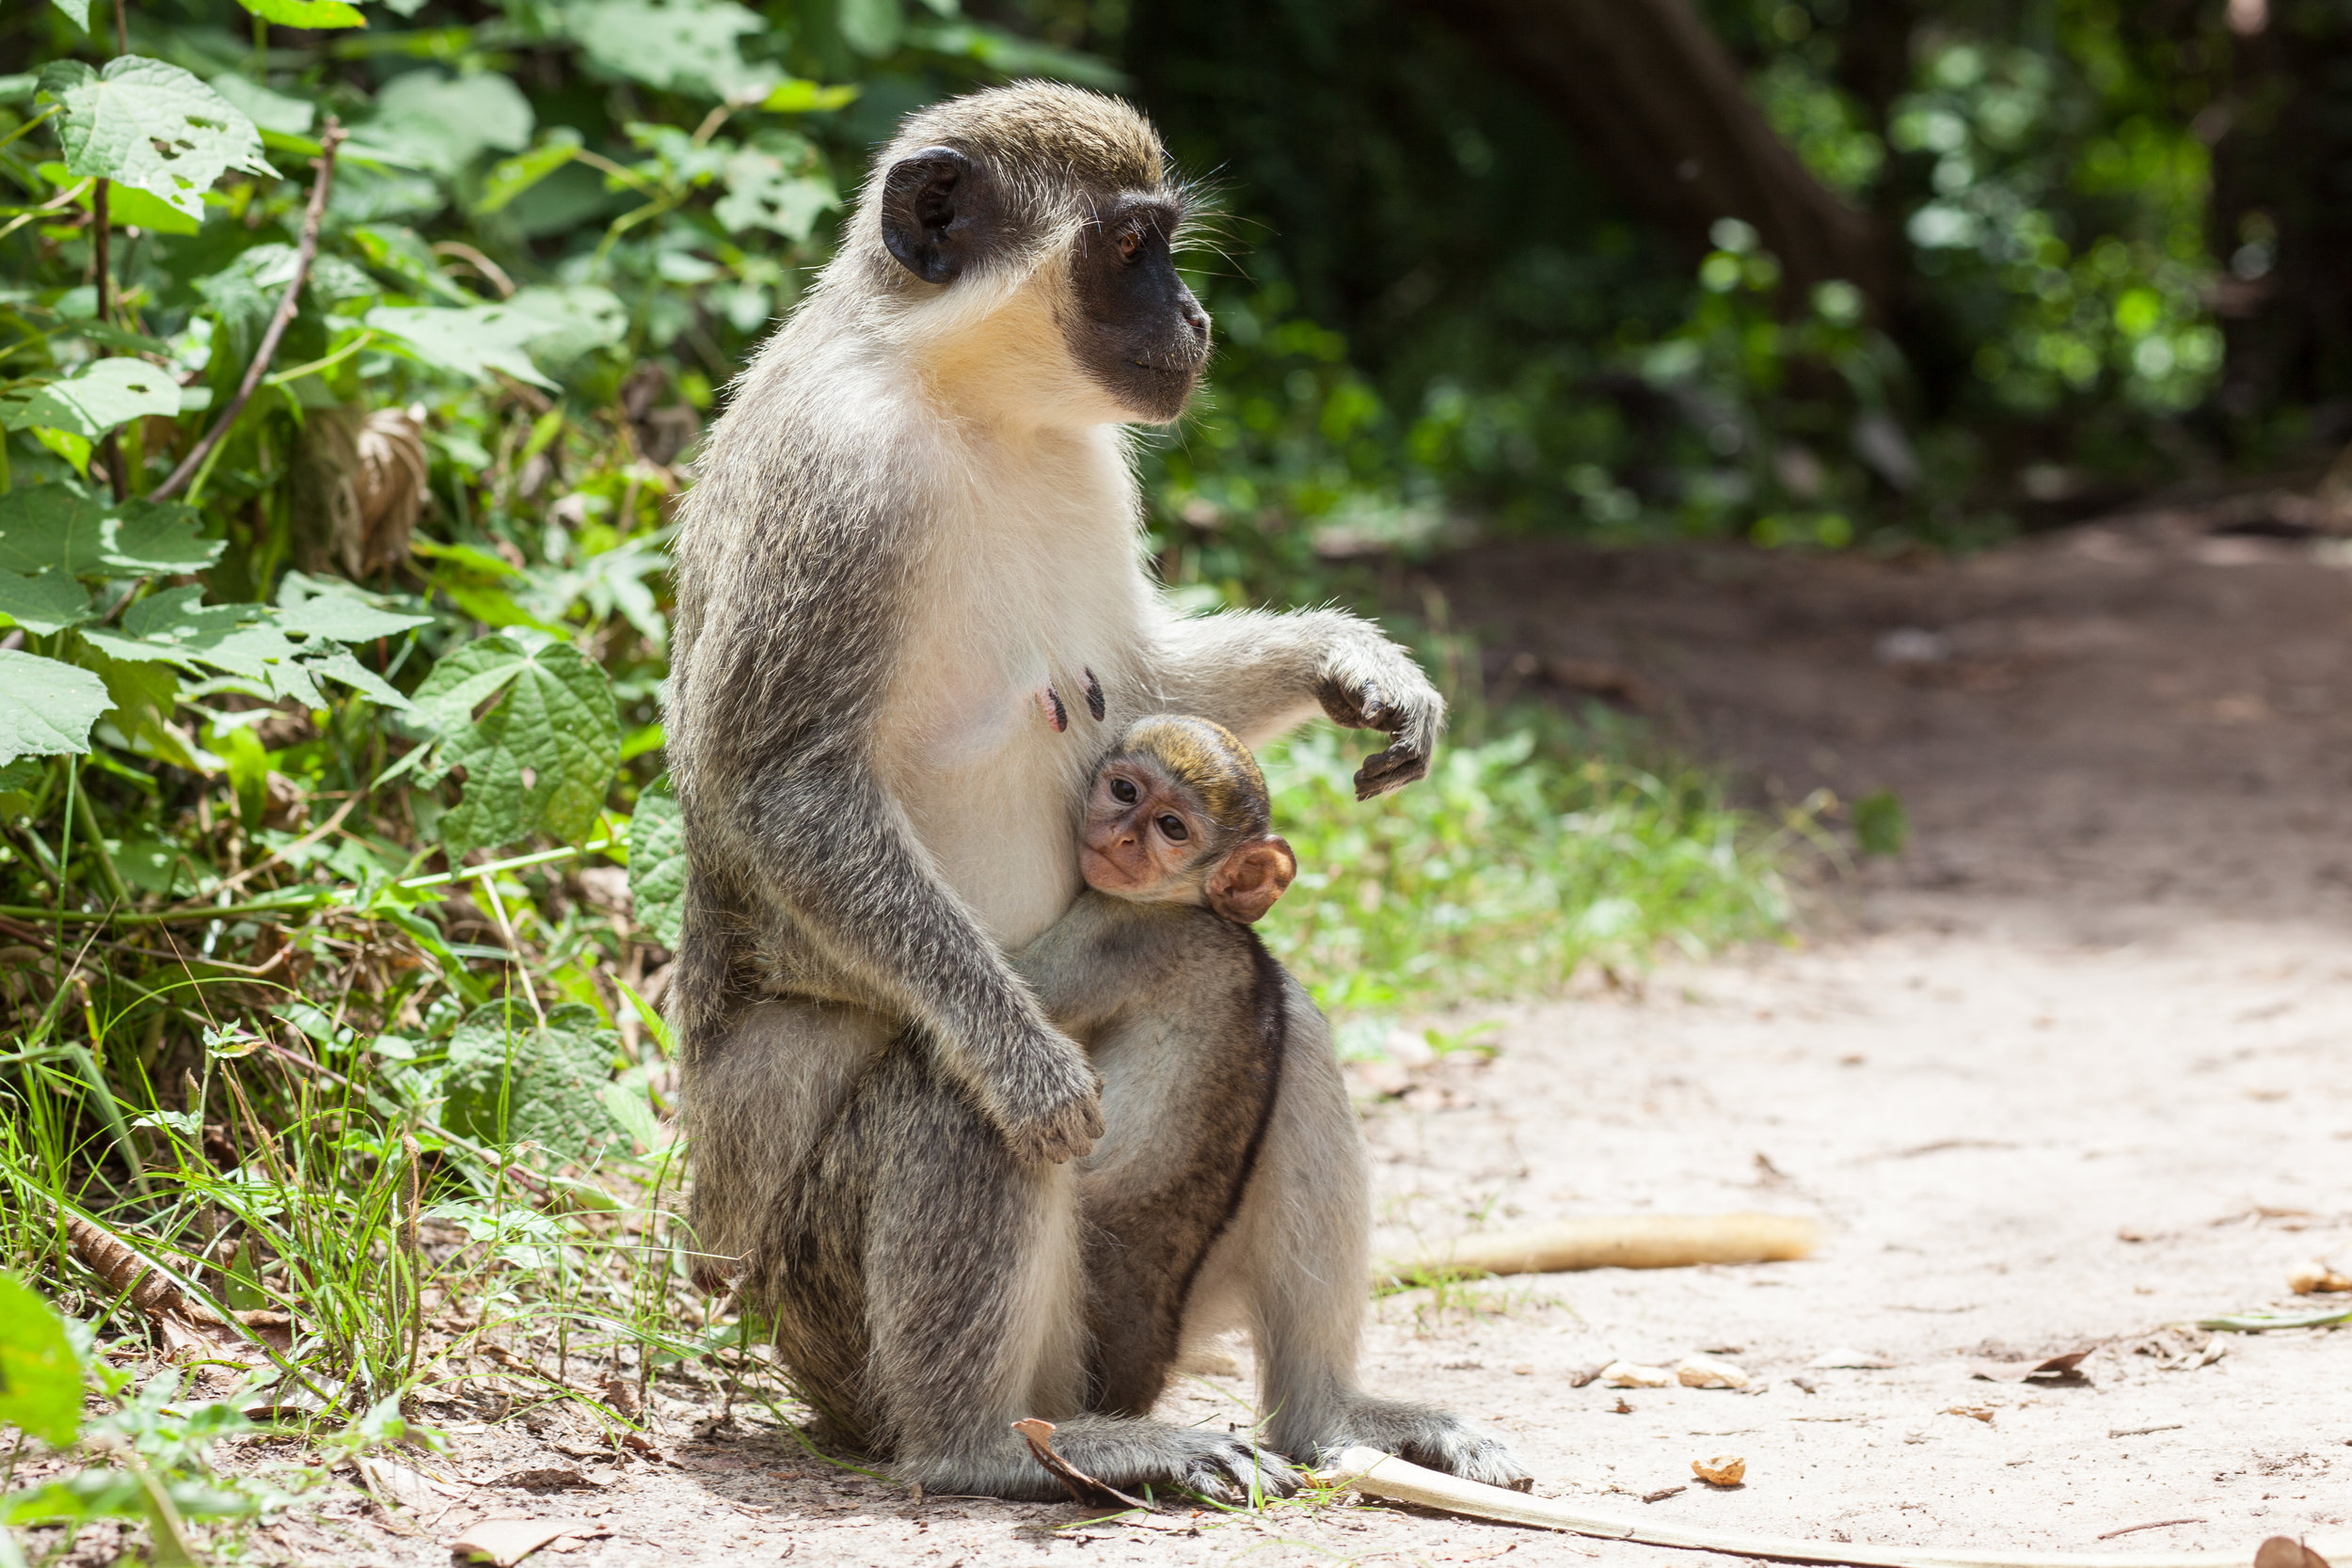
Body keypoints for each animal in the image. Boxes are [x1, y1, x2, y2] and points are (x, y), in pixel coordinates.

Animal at [659, 83, 1524, 1495]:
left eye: (1167, 243)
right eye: (1130, 248)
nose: (1198, 320)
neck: (960, 393)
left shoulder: (1093, 464)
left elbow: (1145, 676)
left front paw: (1355, 663)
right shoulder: (839, 481)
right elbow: (777, 784)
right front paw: (1024, 1062)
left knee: (1289, 1014)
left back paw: (1327, 1416)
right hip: (825, 1302)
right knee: (954, 1096)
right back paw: (981, 1449)